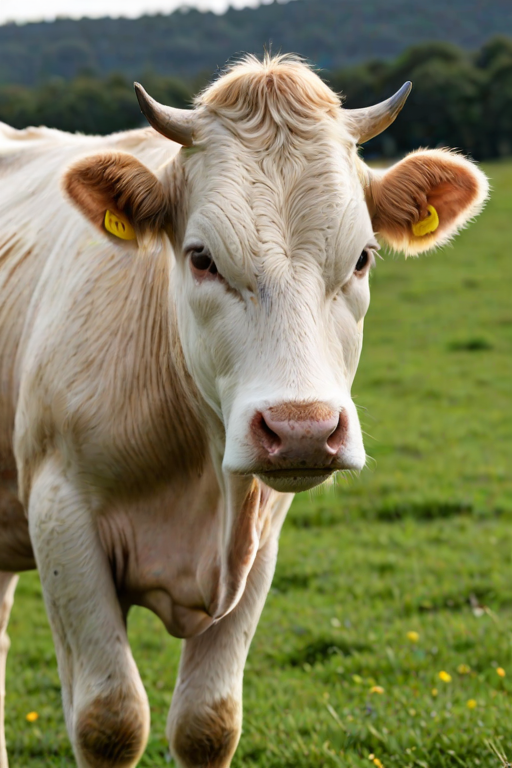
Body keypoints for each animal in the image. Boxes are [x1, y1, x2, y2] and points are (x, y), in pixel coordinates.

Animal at [0, 54, 488, 768]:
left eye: (363, 257)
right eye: (202, 257)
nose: (303, 429)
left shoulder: (262, 534)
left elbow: (208, 722)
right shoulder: (60, 512)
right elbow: (109, 718)